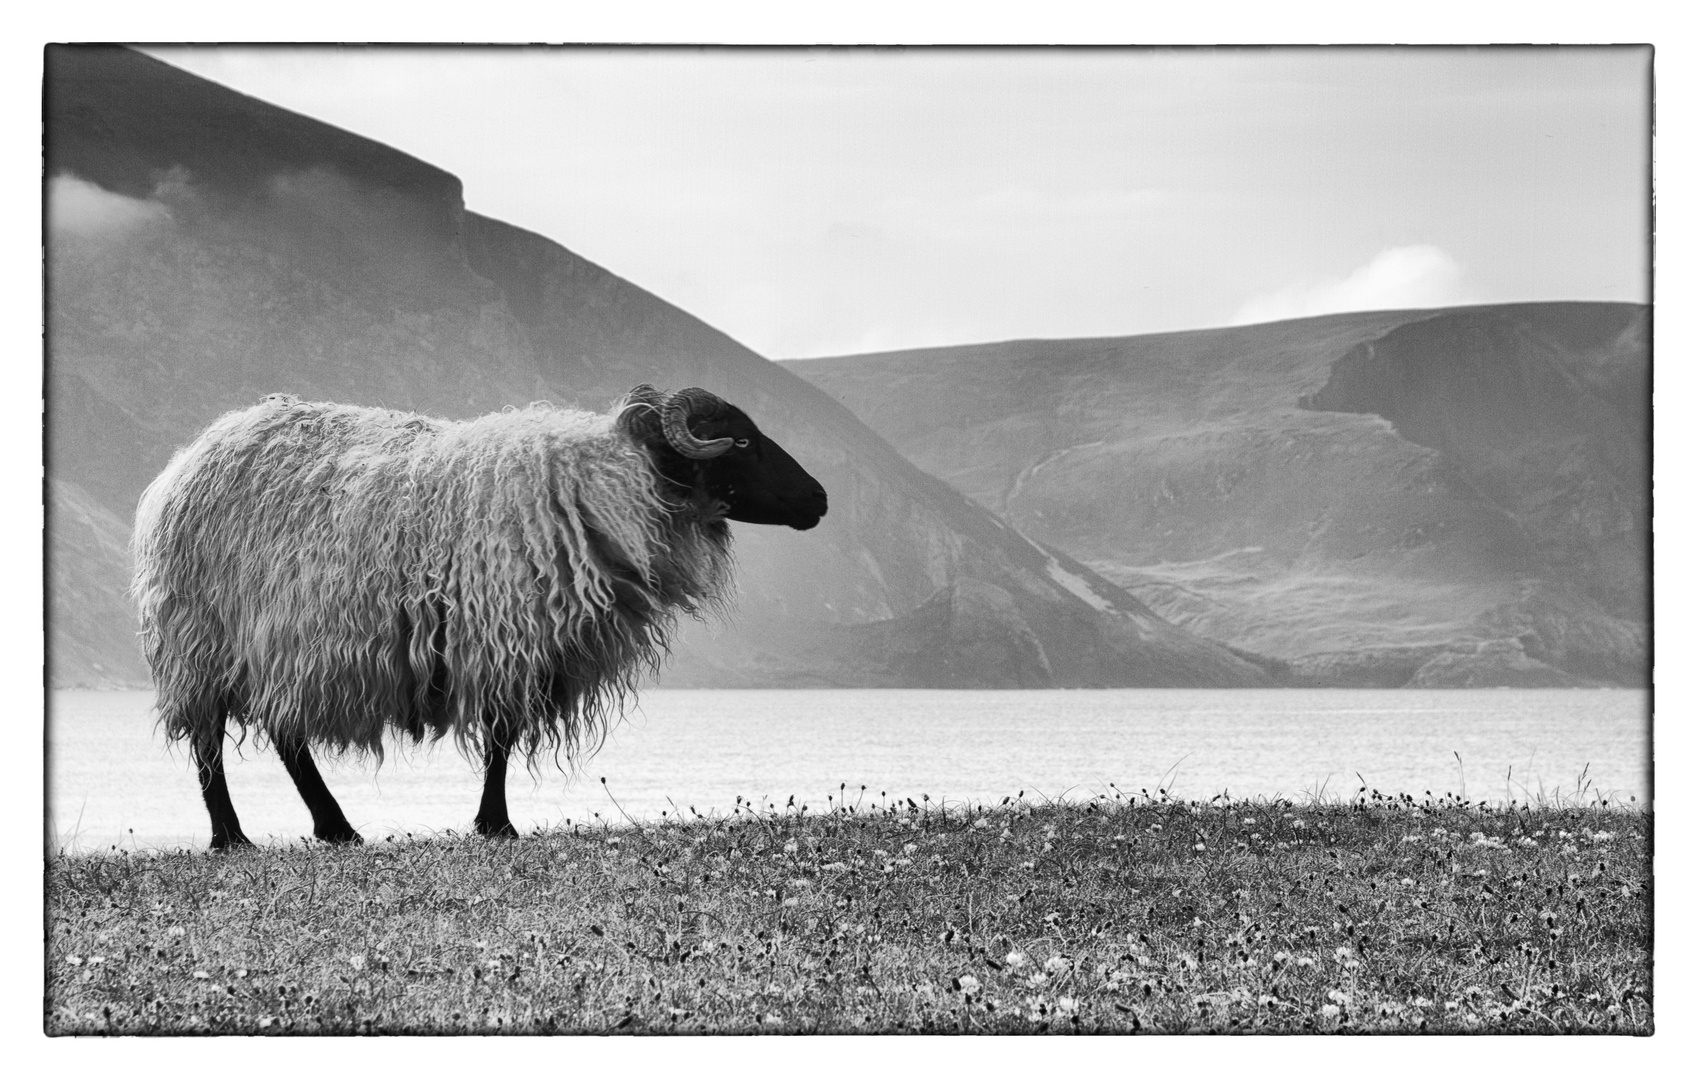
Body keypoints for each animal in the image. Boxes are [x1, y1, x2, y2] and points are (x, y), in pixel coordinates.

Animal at [128, 383, 824, 849]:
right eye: (740, 441)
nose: (818, 499)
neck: (600, 488)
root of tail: (187, 460)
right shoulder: (502, 633)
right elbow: (501, 737)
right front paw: (496, 824)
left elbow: (500, 738)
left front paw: (493, 822)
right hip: (202, 634)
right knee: (212, 740)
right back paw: (234, 836)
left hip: (269, 642)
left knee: (282, 732)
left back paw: (333, 827)